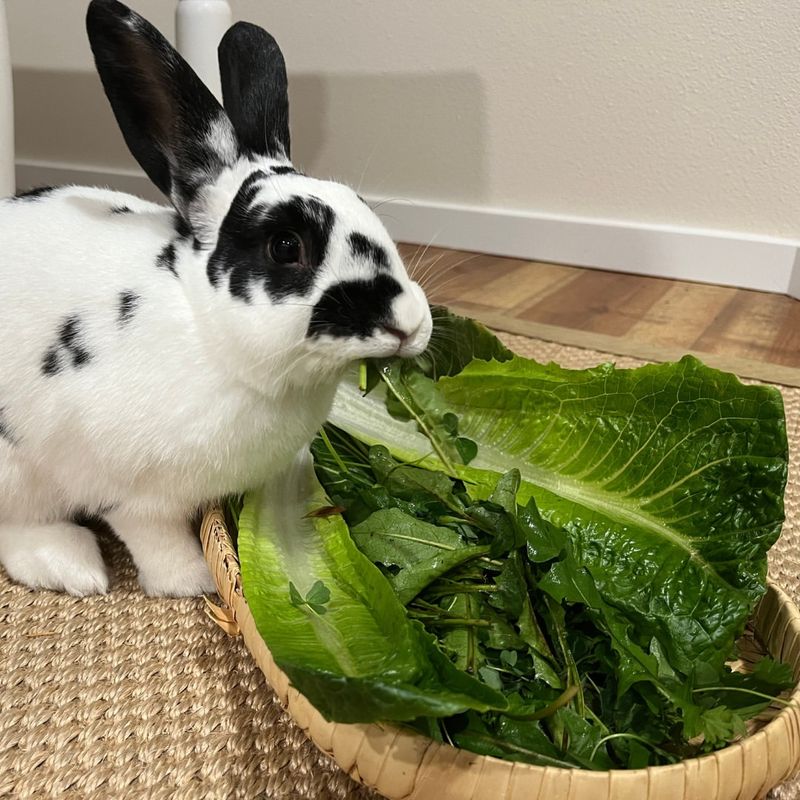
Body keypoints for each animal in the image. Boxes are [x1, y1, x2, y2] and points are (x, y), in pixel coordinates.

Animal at [0, 0, 432, 596]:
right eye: (285, 245)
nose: (408, 323)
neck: (209, 335)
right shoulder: (135, 496)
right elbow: (155, 539)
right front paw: (197, 581)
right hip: (16, 470)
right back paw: (73, 566)